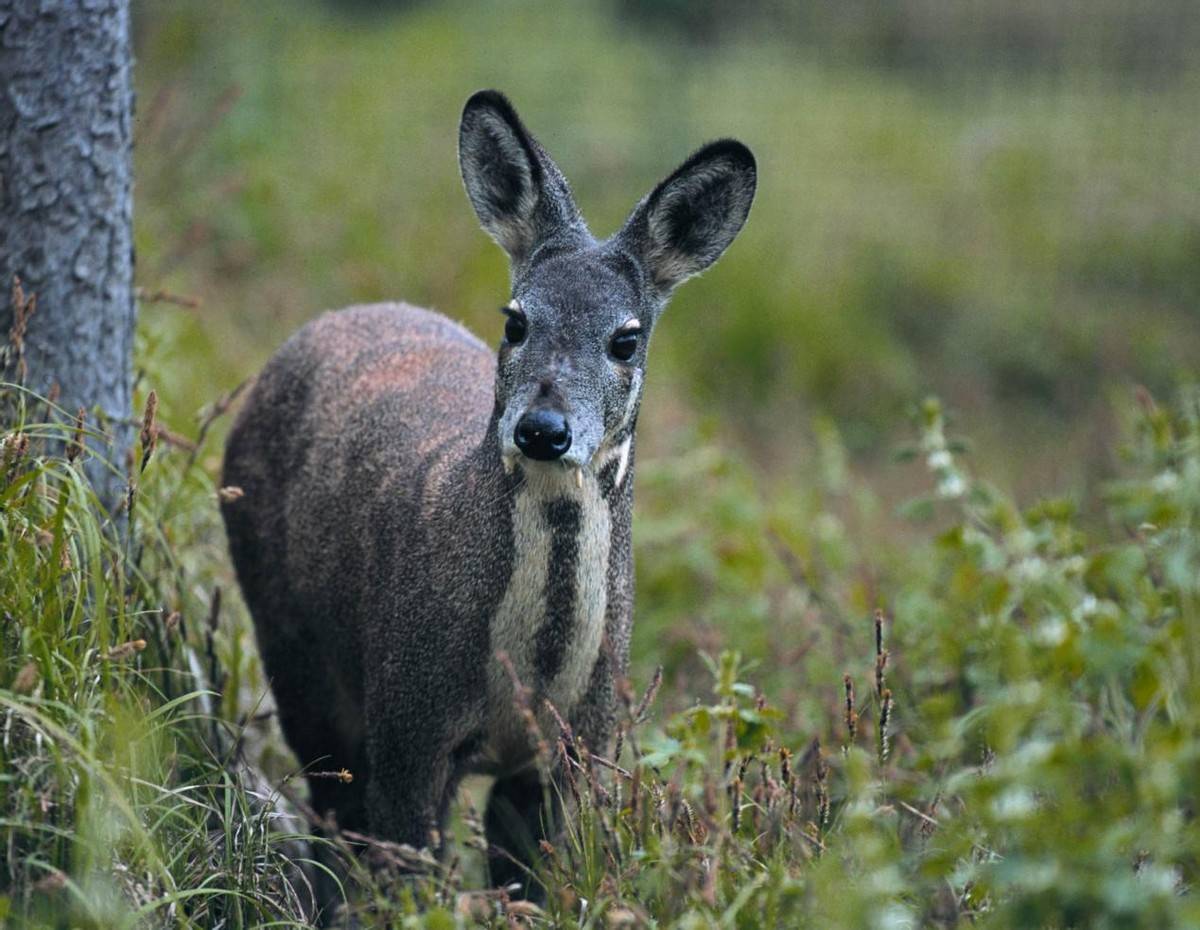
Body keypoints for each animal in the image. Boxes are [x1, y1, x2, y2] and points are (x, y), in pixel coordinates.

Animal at [220, 89, 753, 892]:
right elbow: (403, 873)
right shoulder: (408, 719)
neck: (529, 678)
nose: (542, 428)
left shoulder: (578, 747)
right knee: (330, 811)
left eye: (626, 339)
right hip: (292, 642)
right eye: (516, 320)